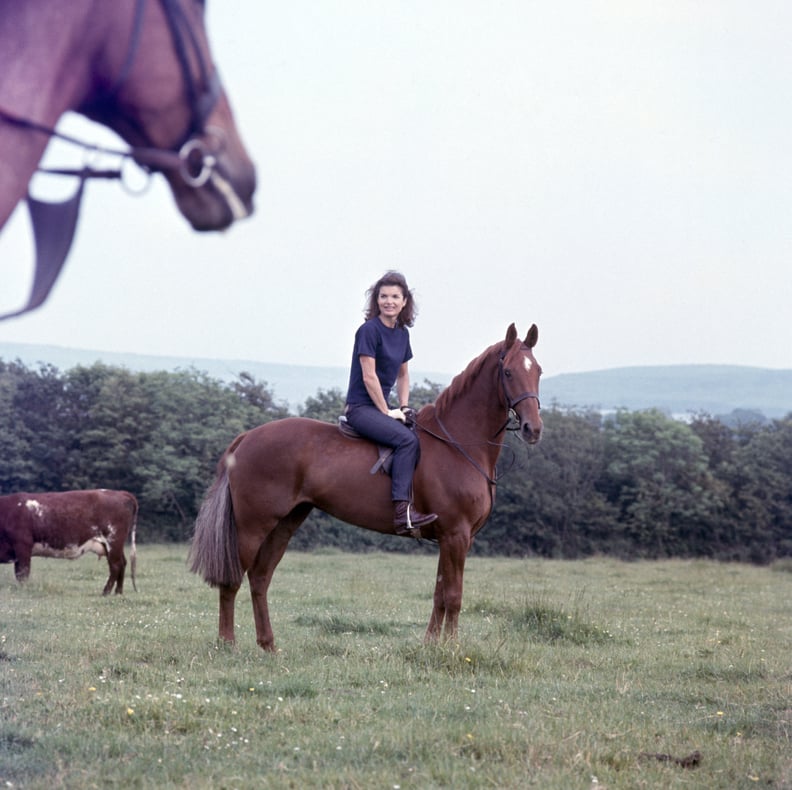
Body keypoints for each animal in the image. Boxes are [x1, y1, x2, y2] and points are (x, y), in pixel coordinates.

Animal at [0, 488, 138, 592]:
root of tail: (120, 493)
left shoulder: (22, 546)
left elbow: (22, 573)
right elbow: (19, 572)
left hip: (113, 540)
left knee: (116, 565)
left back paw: (106, 592)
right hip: (114, 545)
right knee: (122, 563)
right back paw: (118, 592)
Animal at [189, 324, 540, 652]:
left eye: (537, 370)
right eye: (508, 372)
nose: (532, 428)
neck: (456, 442)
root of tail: (248, 437)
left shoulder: (450, 538)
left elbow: (439, 593)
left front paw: (431, 646)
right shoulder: (456, 534)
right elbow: (453, 595)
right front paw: (452, 649)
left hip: (285, 523)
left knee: (260, 578)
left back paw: (268, 645)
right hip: (252, 526)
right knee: (233, 579)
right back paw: (227, 644)